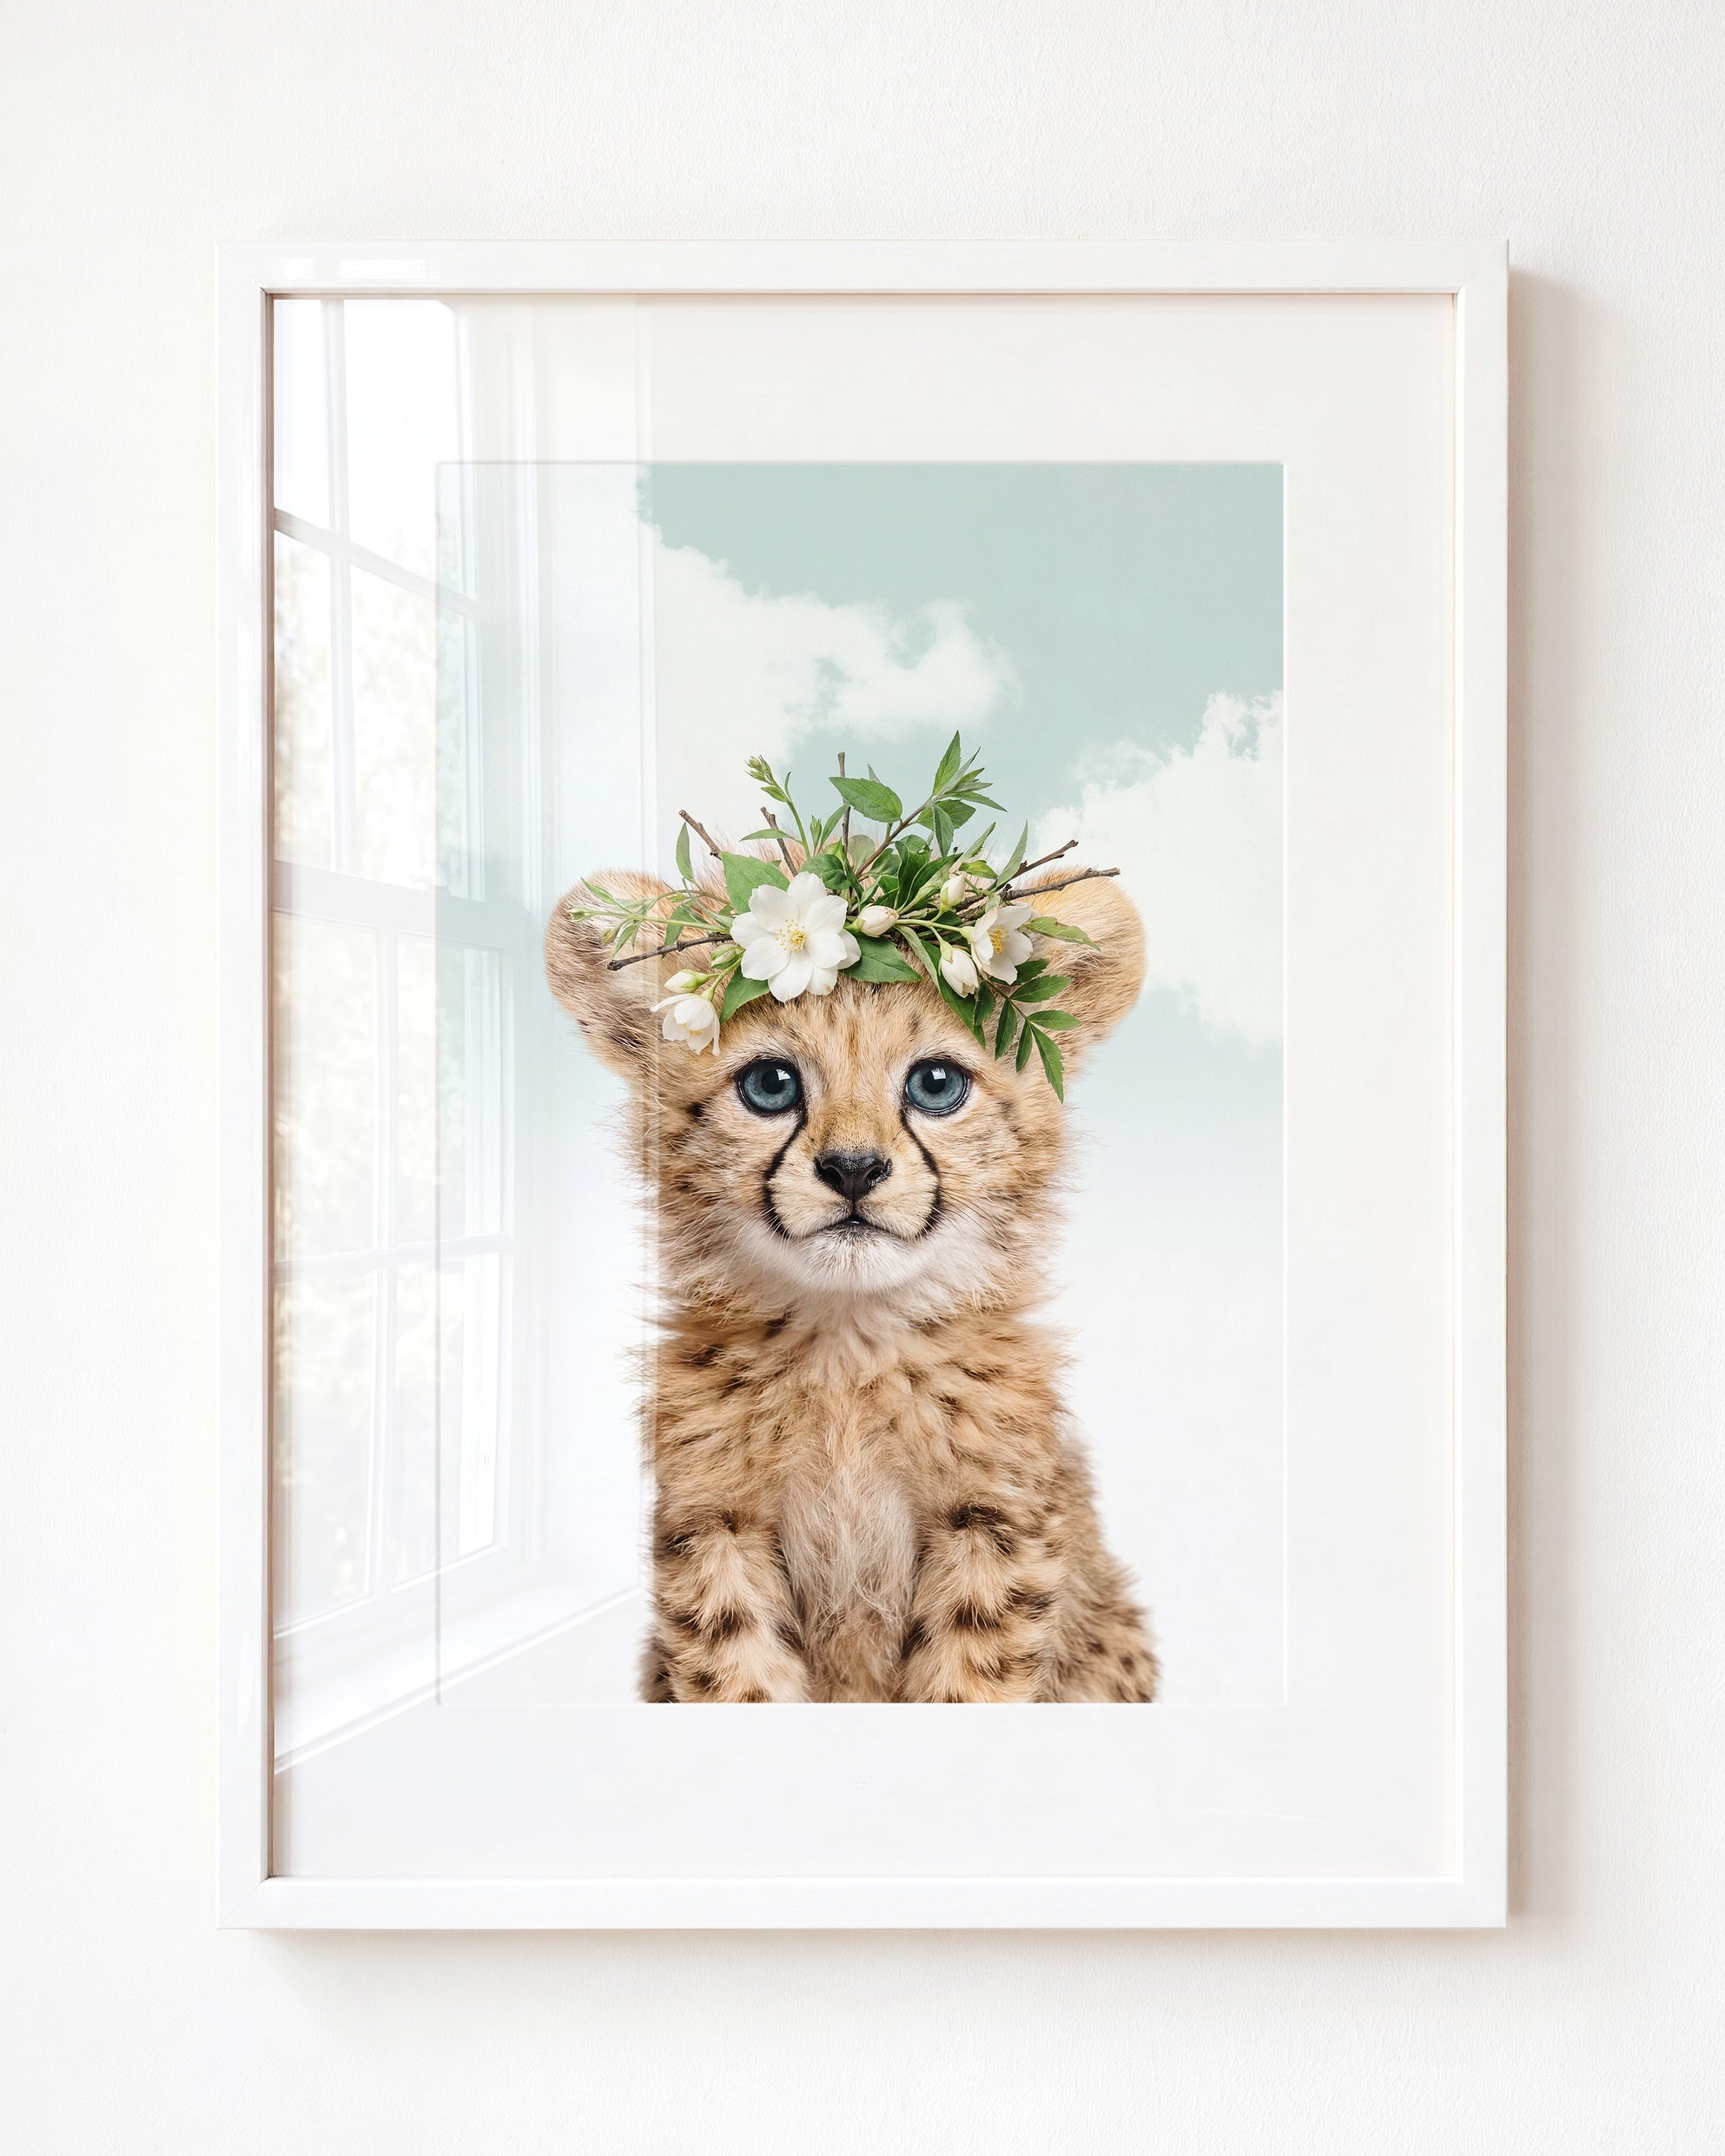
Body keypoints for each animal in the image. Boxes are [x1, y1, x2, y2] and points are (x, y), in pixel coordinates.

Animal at [543, 863, 1159, 1703]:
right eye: (771, 1084)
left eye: (937, 1084)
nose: (855, 1169)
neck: (848, 1344)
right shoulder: (716, 1526)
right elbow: (739, 1677)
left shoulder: (992, 1526)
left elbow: (971, 1681)